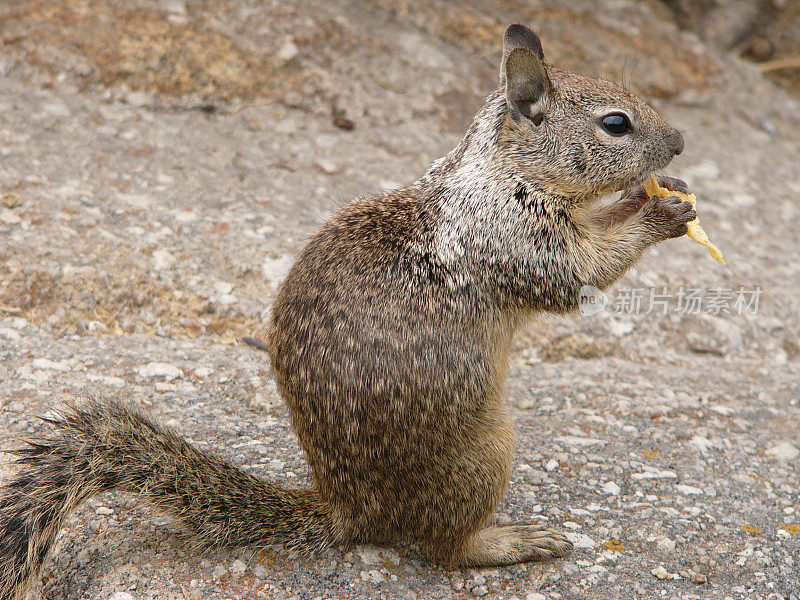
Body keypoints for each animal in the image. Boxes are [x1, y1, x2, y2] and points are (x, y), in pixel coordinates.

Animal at [0, 23, 692, 600]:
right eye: (616, 123)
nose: (682, 142)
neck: (502, 172)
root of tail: (346, 506)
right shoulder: (520, 241)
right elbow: (585, 273)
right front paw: (660, 212)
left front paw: (657, 196)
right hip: (485, 456)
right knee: (442, 547)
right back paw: (511, 541)